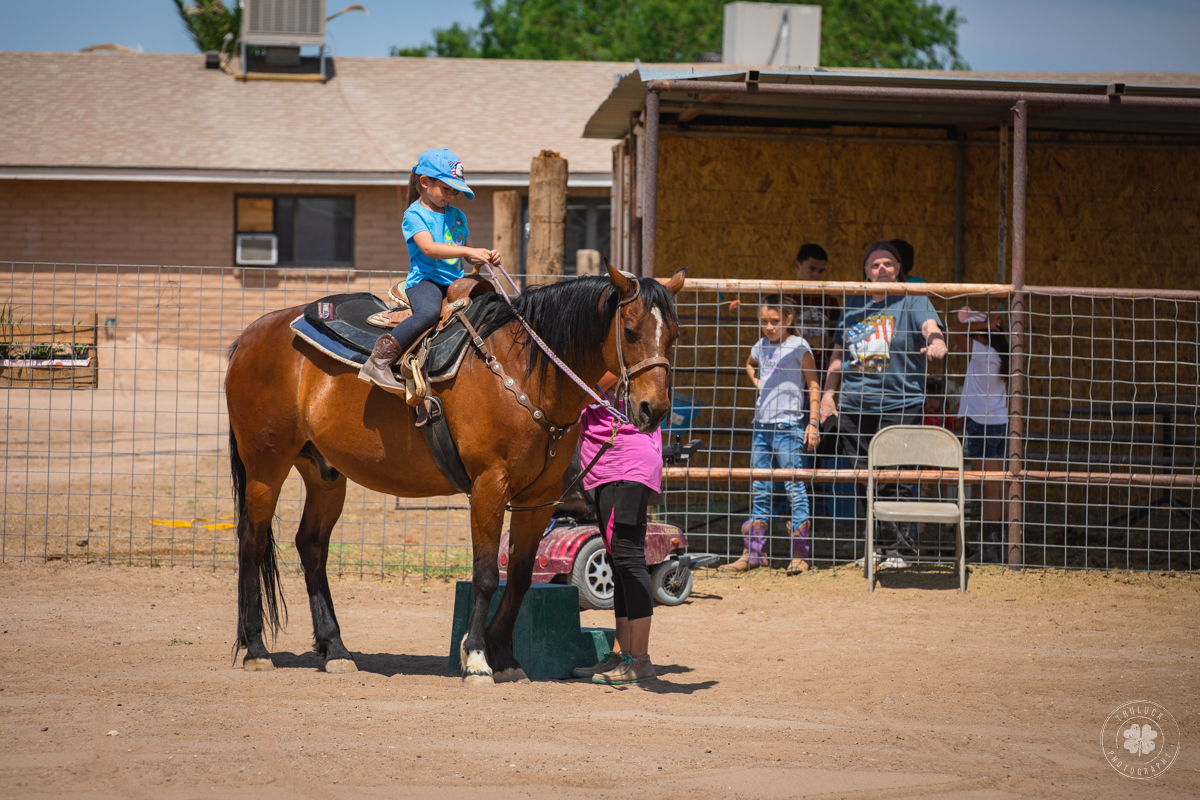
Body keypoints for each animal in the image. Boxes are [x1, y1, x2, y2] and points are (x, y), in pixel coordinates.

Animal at [224, 265, 685, 684]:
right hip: (266, 465)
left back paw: (335, 649)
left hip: (324, 473)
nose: (654, 410)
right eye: (630, 331)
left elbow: (519, 577)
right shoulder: (489, 487)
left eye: (675, 335)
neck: (525, 371)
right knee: (251, 541)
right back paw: (257, 648)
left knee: (311, 545)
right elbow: (485, 577)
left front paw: (505, 656)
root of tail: (252, 335)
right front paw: (477, 657)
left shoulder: (540, 497)